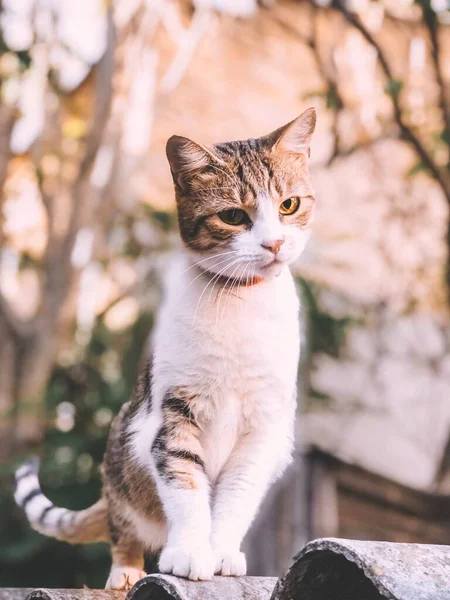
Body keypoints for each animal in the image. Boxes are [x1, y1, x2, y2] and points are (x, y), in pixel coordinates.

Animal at [14, 108, 316, 592]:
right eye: (233, 215)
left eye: (289, 205)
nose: (274, 244)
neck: (237, 302)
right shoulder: (173, 412)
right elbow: (185, 486)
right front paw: (189, 553)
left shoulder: (263, 428)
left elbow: (237, 496)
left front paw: (220, 552)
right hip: (122, 446)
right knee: (122, 524)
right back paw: (125, 571)